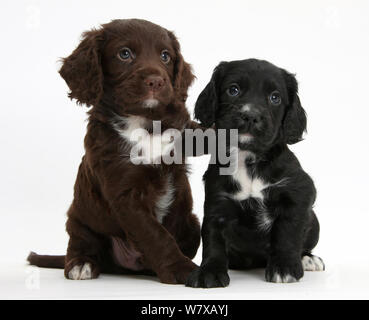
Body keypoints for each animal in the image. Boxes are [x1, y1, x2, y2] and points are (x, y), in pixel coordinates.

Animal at [187, 60, 322, 288]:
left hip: (314, 223)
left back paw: (308, 259)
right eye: (233, 90)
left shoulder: (298, 194)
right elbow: (213, 239)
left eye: (275, 97)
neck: (248, 159)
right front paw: (210, 271)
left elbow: (288, 232)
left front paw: (284, 268)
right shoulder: (217, 202)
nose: (250, 115)